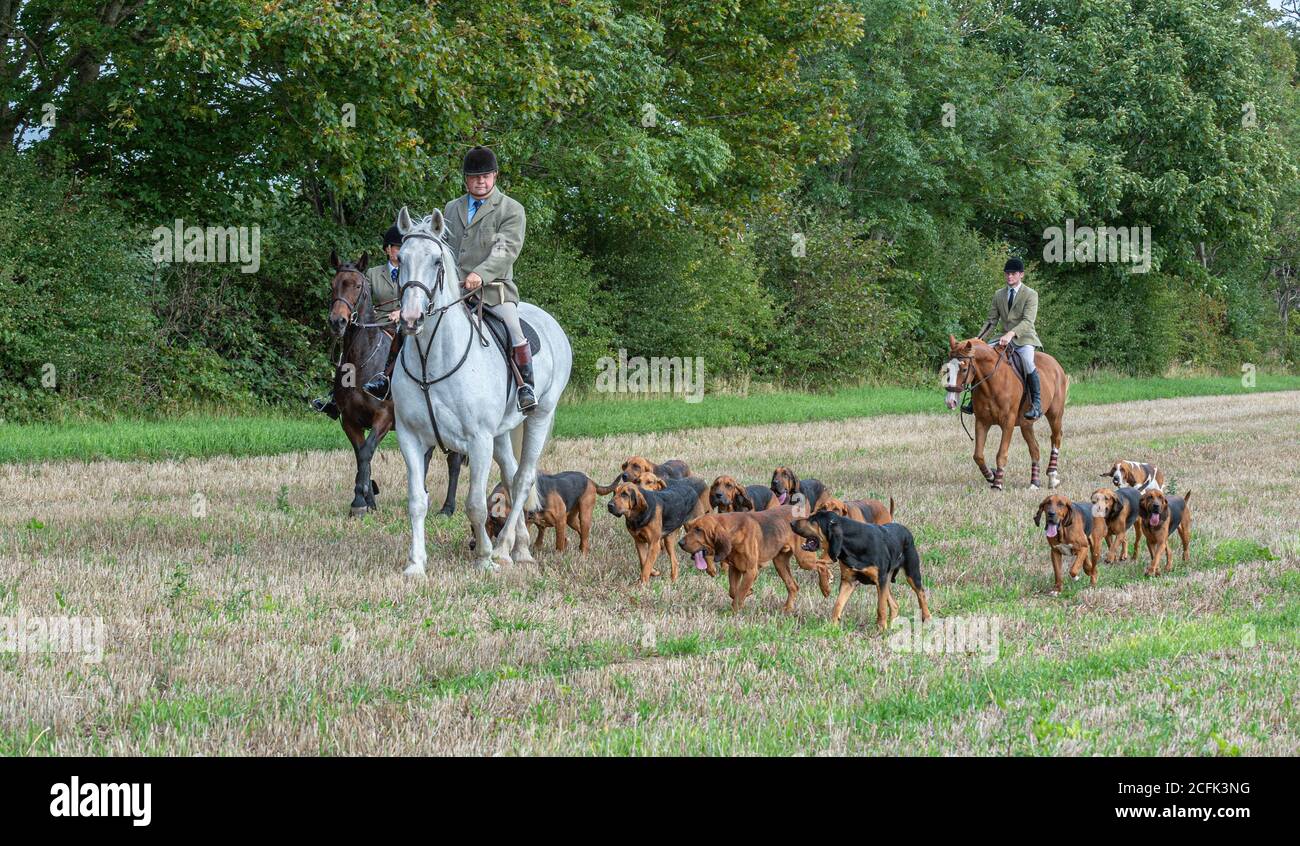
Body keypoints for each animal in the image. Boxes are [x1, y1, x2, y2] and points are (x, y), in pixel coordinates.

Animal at [327, 249, 465, 517]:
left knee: (453, 460)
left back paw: (447, 508)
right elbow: (362, 455)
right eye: (333, 285)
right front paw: (367, 499)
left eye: (358, 286)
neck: (360, 361)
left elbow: (367, 451)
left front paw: (360, 501)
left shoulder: (384, 417)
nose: (338, 322)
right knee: (427, 454)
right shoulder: (349, 420)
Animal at [392, 206, 572, 576]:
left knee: (524, 479)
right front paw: (416, 564)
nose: (411, 318)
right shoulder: (409, 437)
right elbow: (417, 501)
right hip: (501, 433)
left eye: (436, 261)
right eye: (400, 259)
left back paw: (503, 549)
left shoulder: (478, 441)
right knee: (511, 474)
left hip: (539, 417)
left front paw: (485, 558)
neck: (431, 358)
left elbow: (475, 503)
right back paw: (519, 547)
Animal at [946, 337, 1066, 493]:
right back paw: (1034, 483)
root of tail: (1055, 363)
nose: (950, 402)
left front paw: (997, 483)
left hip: (1055, 414)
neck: (992, 382)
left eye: (964, 369)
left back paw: (1052, 476)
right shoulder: (982, 422)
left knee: (1056, 438)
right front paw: (991, 475)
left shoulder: (1007, 423)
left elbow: (1001, 454)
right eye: (947, 369)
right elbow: (978, 455)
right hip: (1026, 424)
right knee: (1034, 449)